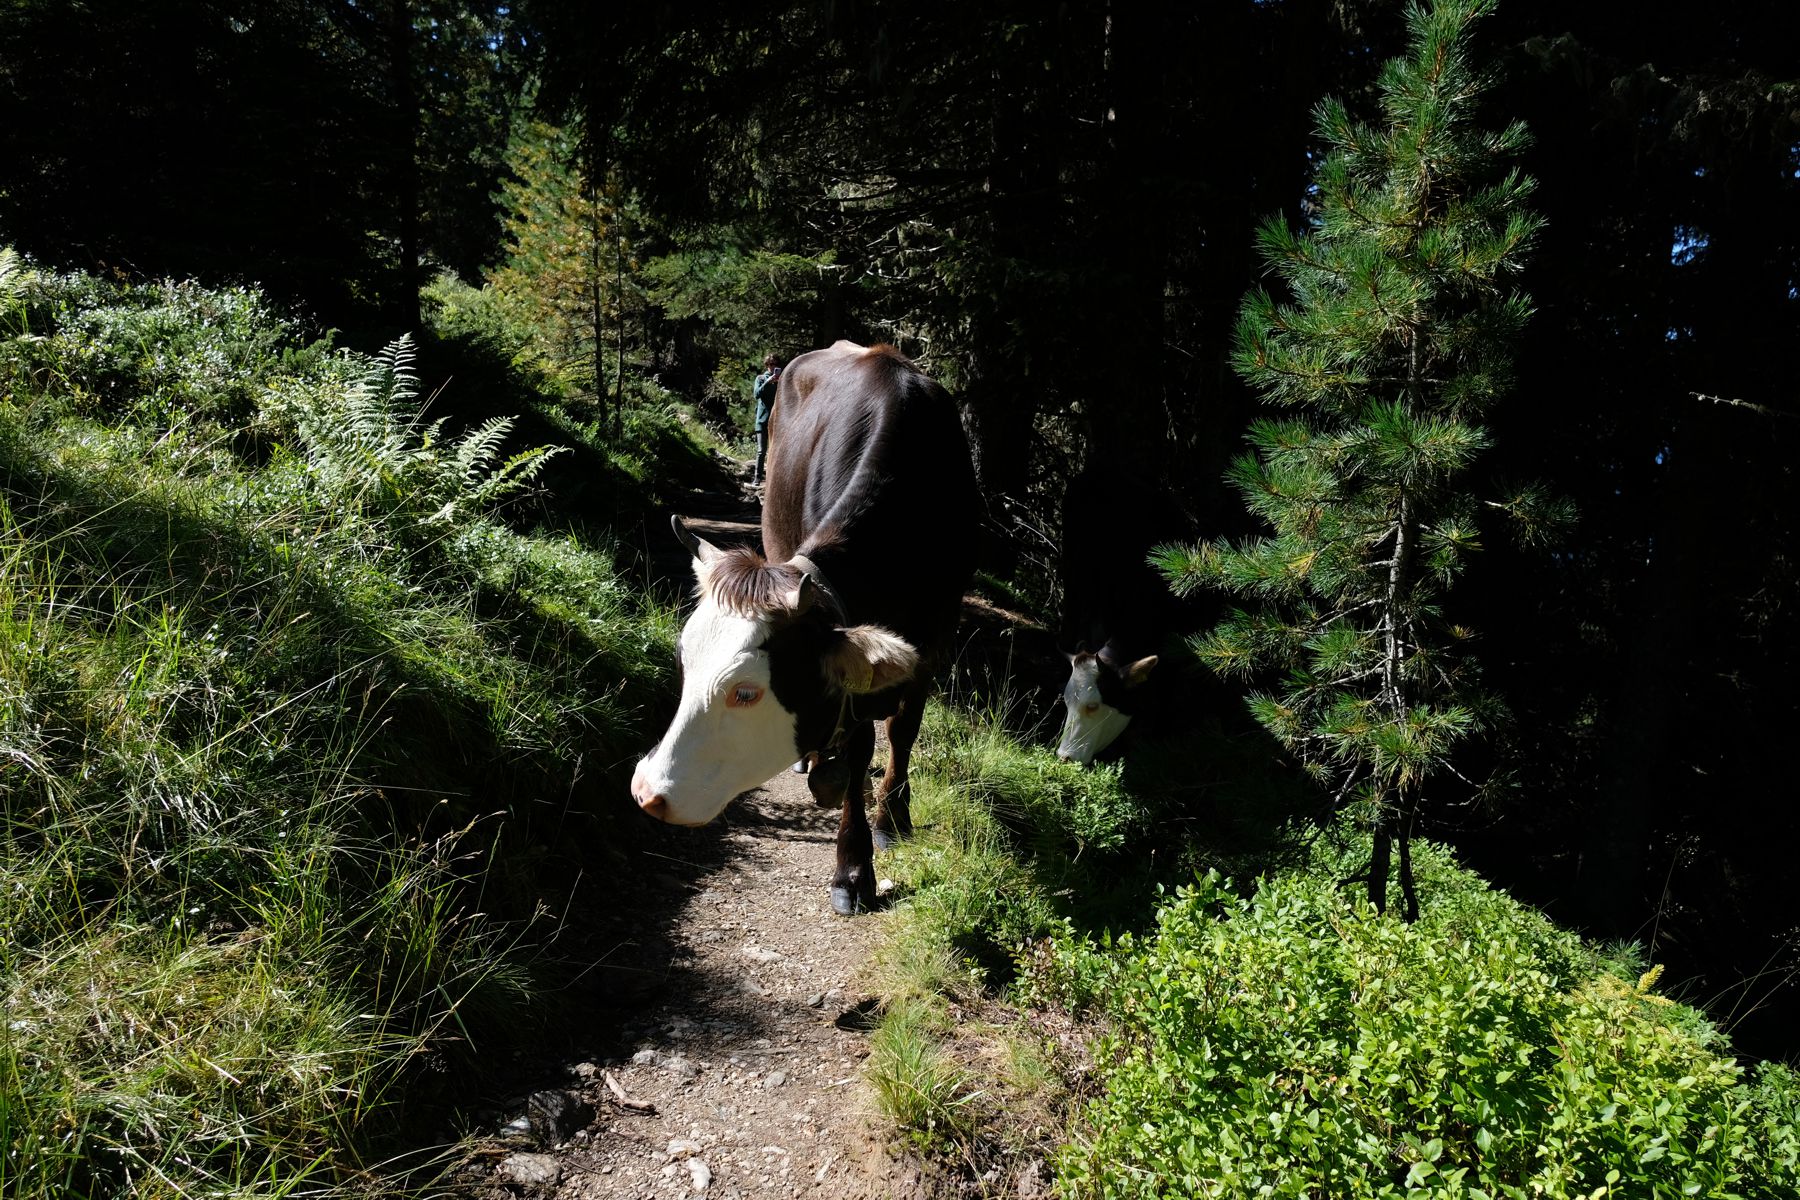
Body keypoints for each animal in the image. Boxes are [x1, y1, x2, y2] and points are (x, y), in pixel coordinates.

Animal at [630, 341, 979, 913]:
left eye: (746, 692)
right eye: (683, 662)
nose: (646, 791)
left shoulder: (935, 640)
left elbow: (900, 732)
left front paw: (889, 820)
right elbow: (859, 747)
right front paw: (853, 870)